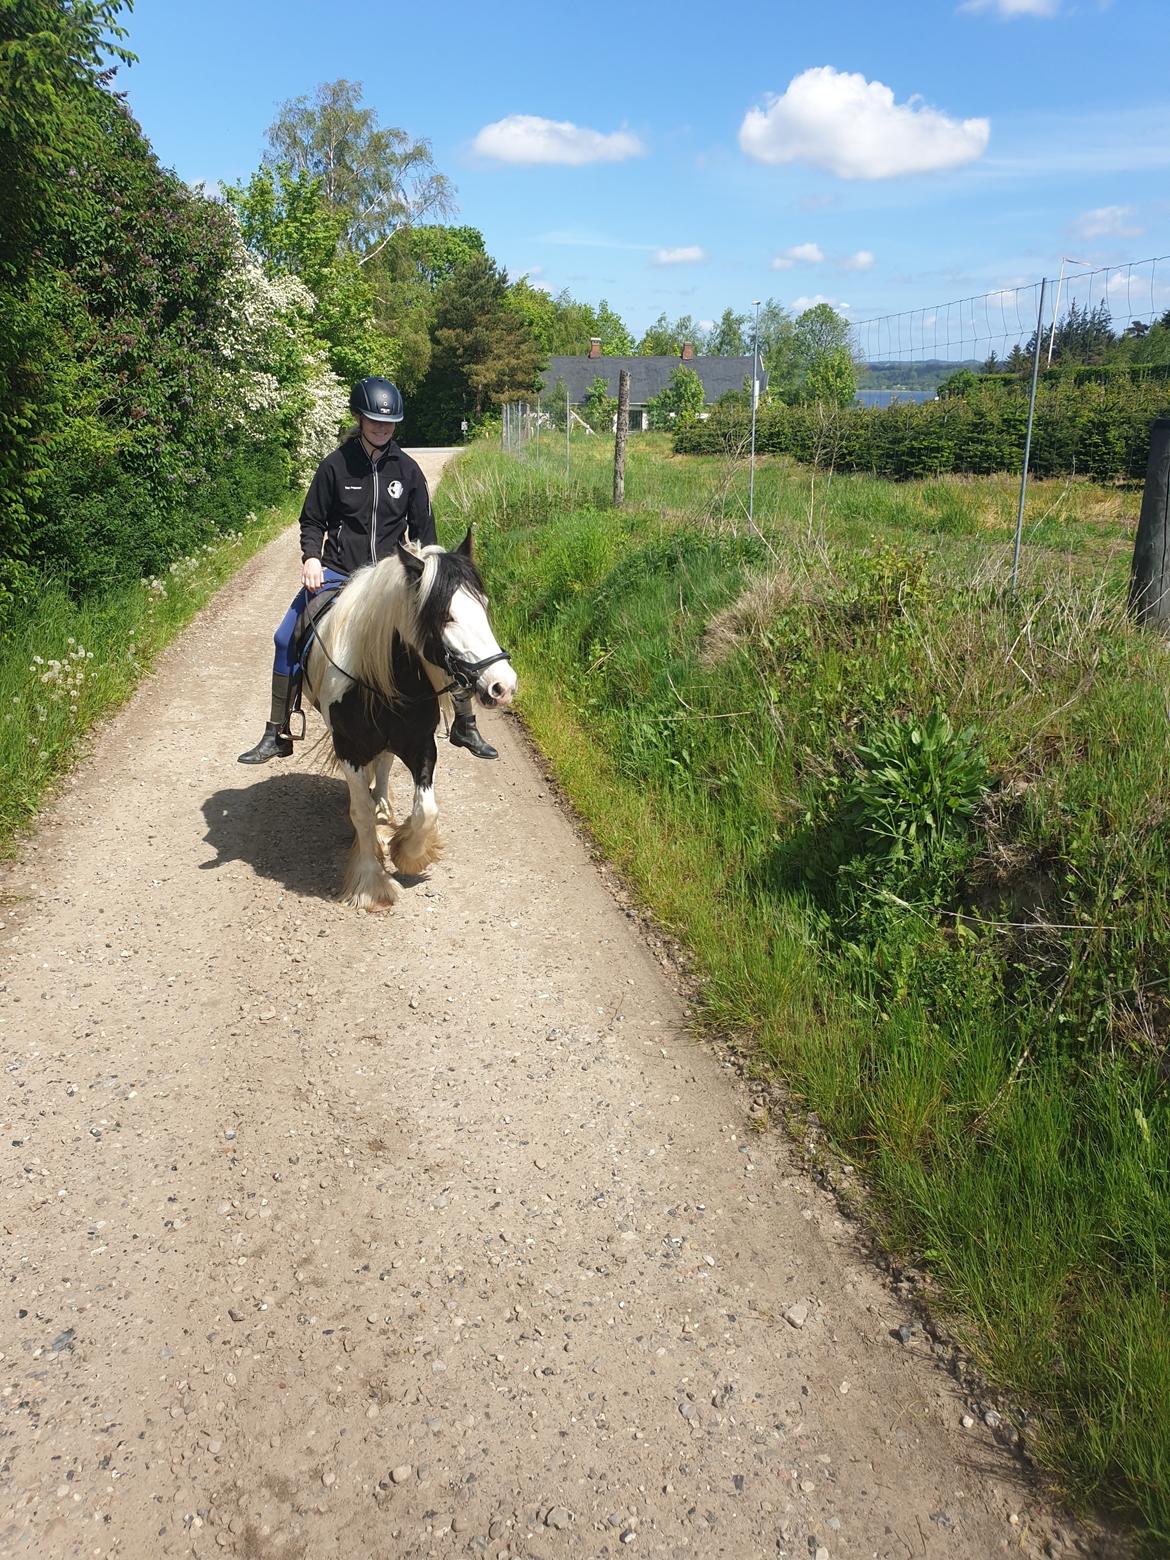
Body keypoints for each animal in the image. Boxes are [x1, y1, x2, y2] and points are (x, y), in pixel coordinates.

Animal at [302, 533, 517, 911]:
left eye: (484, 605)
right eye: (444, 615)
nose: (502, 685)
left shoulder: (421, 745)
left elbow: (426, 809)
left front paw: (408, 852)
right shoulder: (348, 749)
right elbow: (359, 812)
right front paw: (371, 883)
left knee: (384, 767)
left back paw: (384, 810)